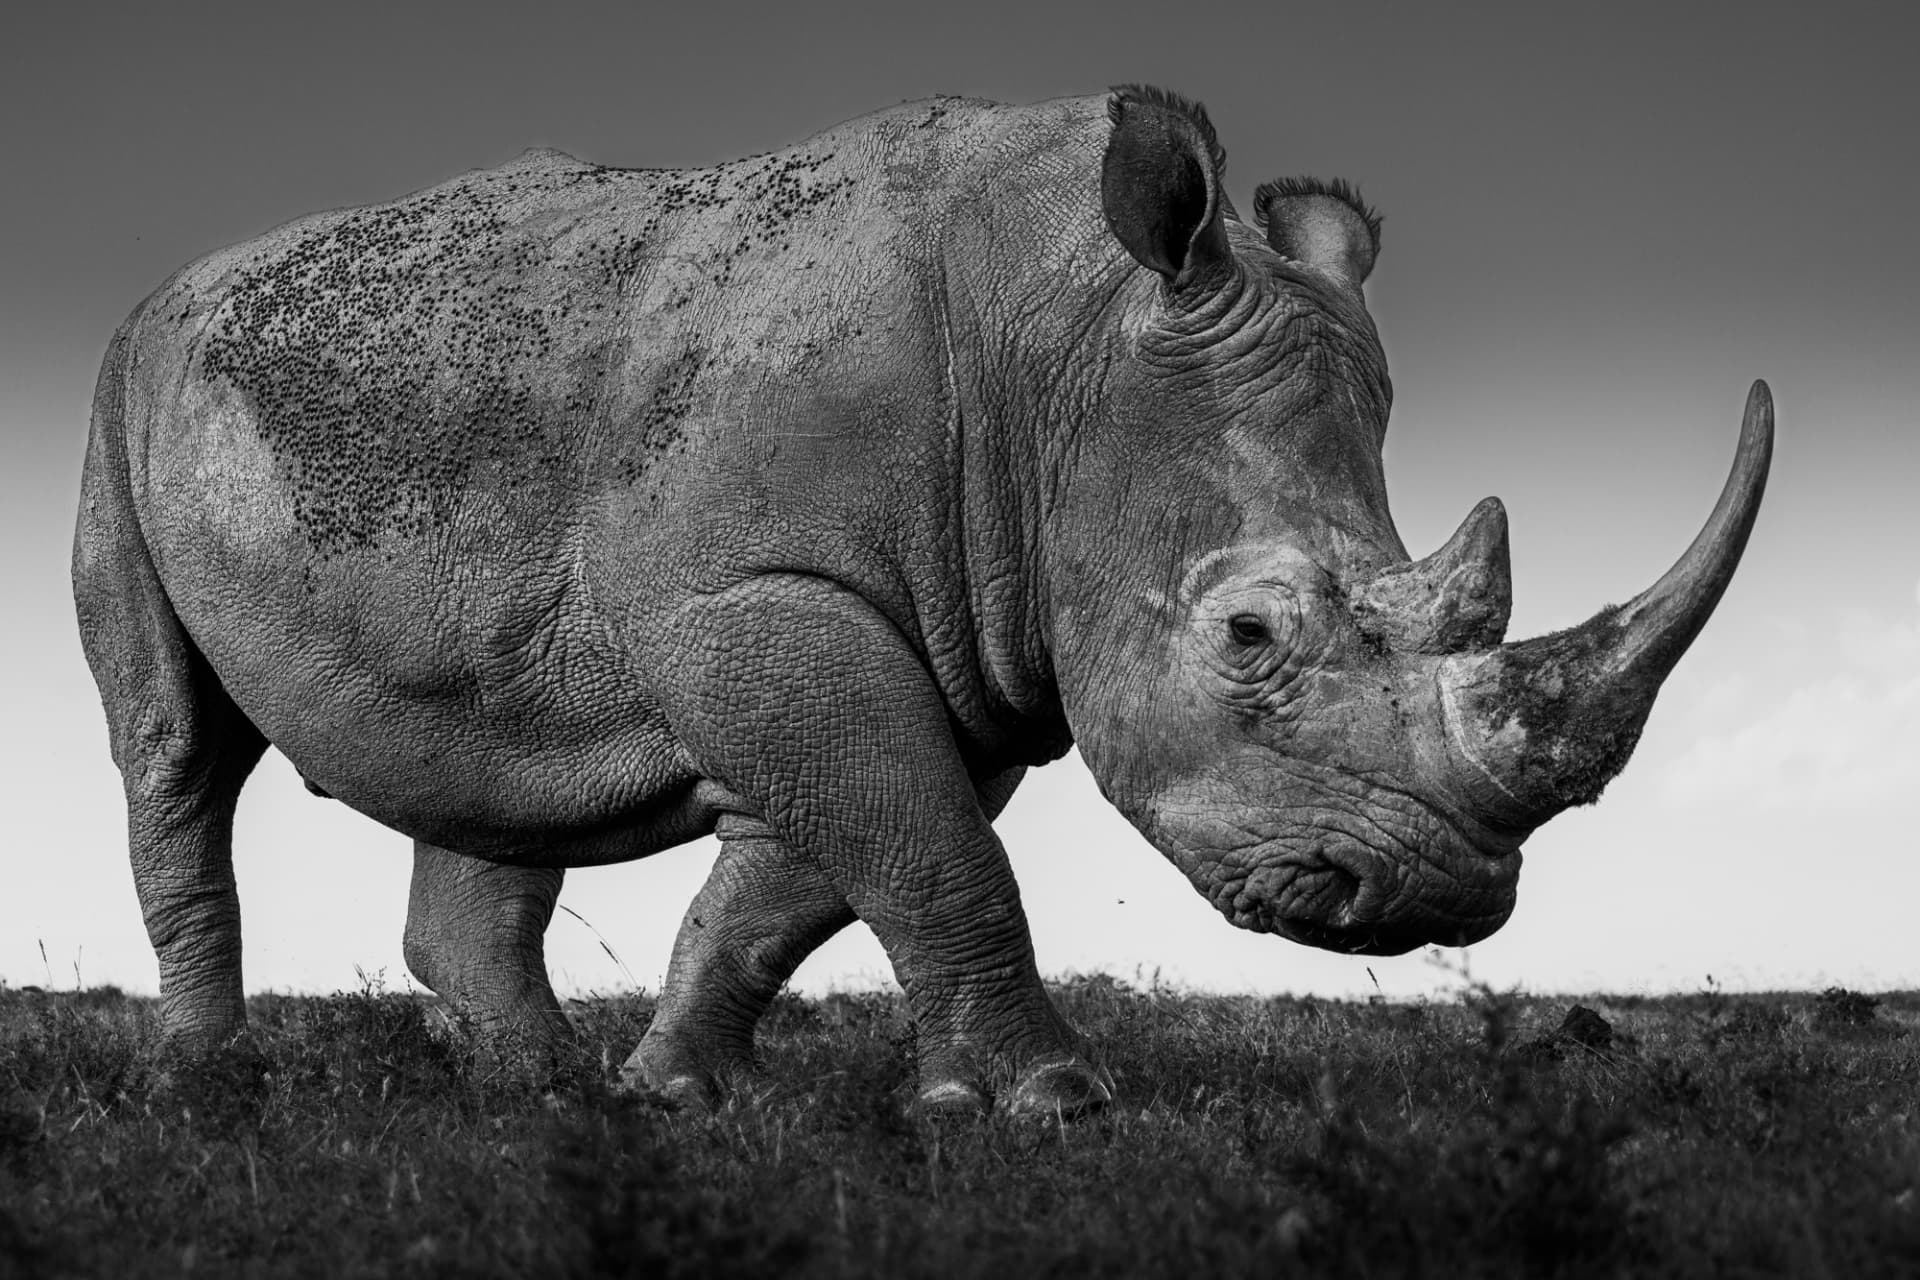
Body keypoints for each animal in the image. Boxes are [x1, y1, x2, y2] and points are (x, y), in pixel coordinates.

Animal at [73, 86, 1771, 1116]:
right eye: (1248, 638)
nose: (1431, 900)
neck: (1066, 339)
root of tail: (175, 287)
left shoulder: (961, 637)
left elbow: (829, 865)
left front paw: (674, 1092)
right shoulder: (766, 596)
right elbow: (927, 846)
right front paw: (1053, 1103)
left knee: (495, 765)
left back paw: (539, 1093)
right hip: (122, 389)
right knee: (172, 744)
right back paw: (207, 1087)